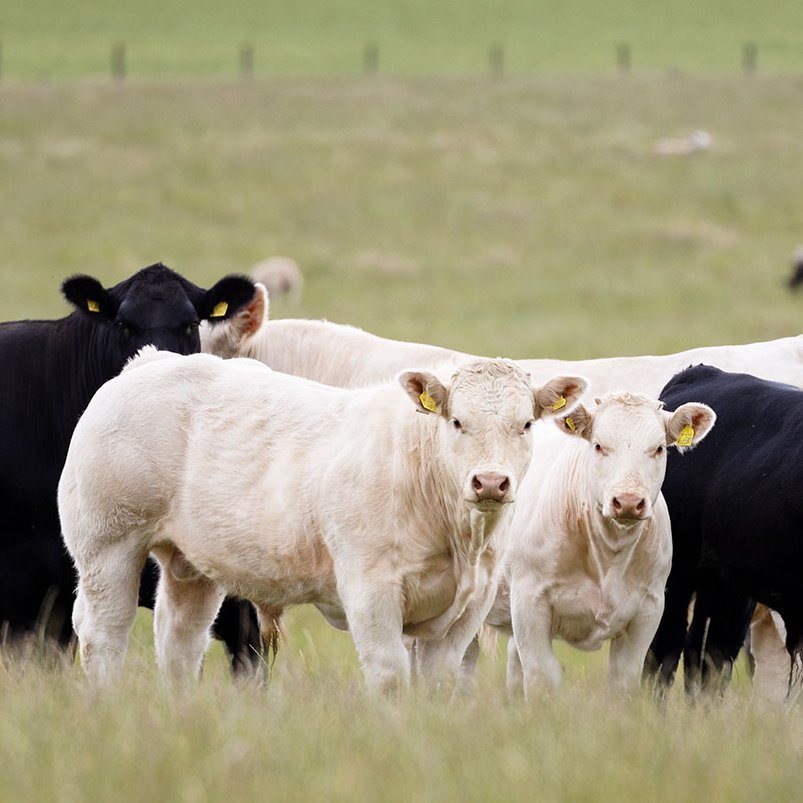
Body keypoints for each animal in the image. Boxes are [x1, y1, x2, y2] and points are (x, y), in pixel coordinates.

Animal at [58, 347, 587, 692]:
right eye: (457, 422)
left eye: (525, 424)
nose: (491, 482)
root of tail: (149, 361)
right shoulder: (370, 587)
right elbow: (389, 672)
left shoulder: (470, 602)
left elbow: (437, 679)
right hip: (108, 544)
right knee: (103, 634)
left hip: (191, 564)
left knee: (180, 639)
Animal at [474, 393, 715, 698]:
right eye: (599, 445)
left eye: (659, 448)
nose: (628, 501)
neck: (607, 556)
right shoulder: (529, 601)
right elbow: (543, 675)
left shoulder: (648, 609)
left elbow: (624, 679)